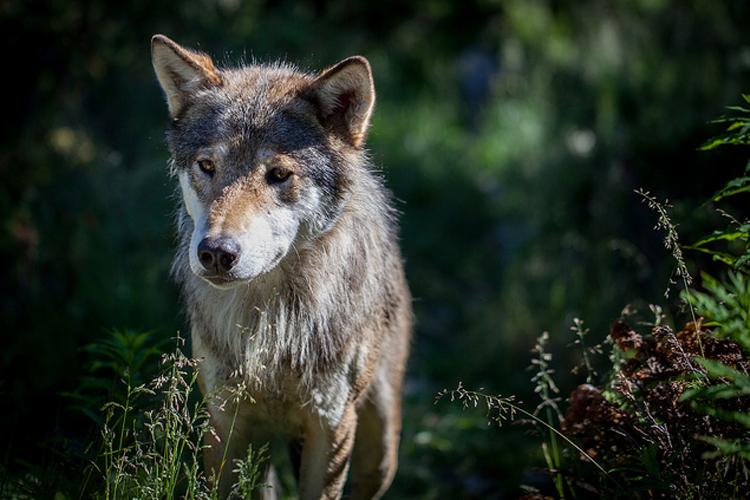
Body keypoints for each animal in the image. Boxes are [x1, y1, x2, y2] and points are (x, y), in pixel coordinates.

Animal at [151, 35, 414, 500]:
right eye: (207, 166)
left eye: (277, 174)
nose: (216, 252)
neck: (274, 323)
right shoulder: (225, 420)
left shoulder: (331, 423)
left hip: (379, 450)